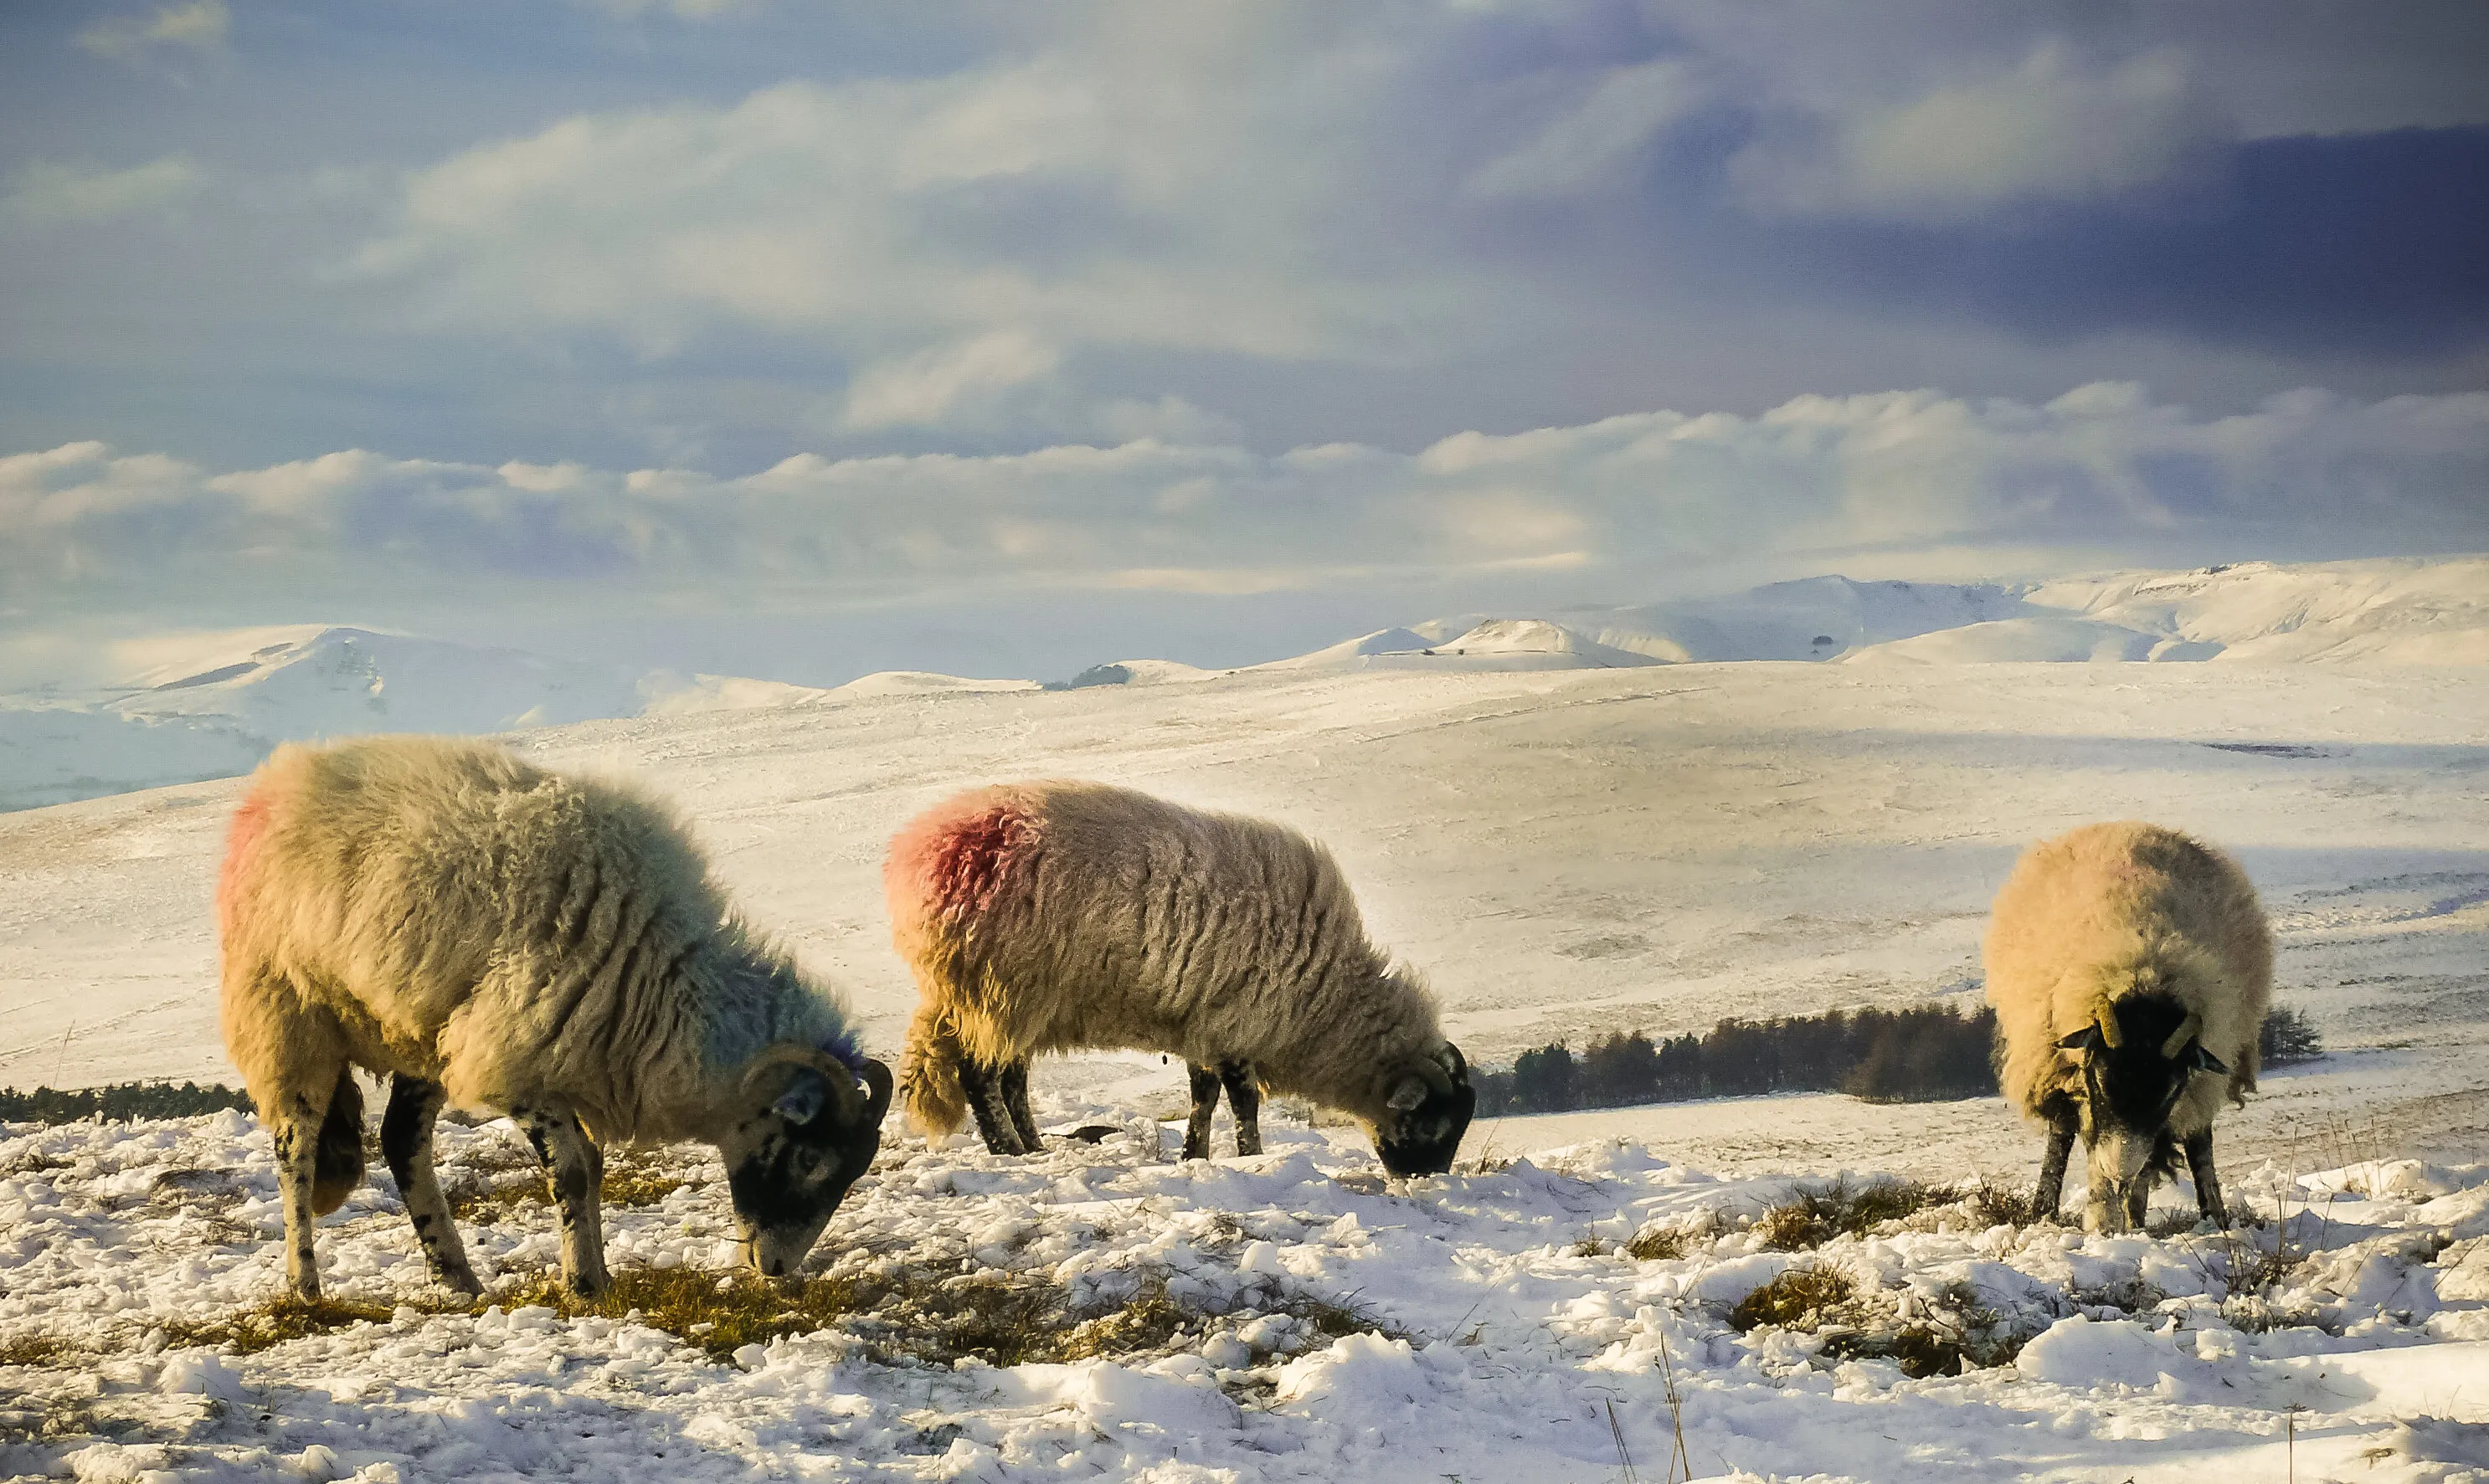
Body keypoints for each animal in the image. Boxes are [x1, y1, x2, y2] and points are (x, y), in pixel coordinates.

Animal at [217, 735, 892, 1300]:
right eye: (807, 1159)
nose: (776, 1268)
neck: (662, 982)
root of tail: (277, 783)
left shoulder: (568, 1063)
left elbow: (591, 1169)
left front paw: (599, 1276)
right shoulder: (514, 1063)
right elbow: (570, 1172)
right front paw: (582, 1285)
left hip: (422, 1029)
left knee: (402, 1140)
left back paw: (457, 1278)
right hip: (287, 1016)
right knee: (296, 1151)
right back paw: (305, 1285)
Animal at [886, 780, 1475, 1176]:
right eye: (1434, 1125)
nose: (1422, 1183)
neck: (1327, 999)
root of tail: (924, 852)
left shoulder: (1204, 1023)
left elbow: (1203, 1097)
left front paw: (1195, 1155)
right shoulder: (1238, 1021)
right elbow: (1243, 1102)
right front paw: (1250, 1156)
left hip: (1020, 1000)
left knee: (1012, 1079)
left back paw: (1032, 1145)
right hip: (995, 987)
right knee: (979, 1074)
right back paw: (1008, 1151)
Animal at [1985, 821, 2271, 1233]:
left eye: (2170, 1092)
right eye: (2101, 1080)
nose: (2120, 1170)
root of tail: (2128, 827)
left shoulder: (2194, 1082)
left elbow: (2195, 1144)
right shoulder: (2074, 1073)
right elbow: (2080, 1138)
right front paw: (2099, 1222)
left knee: (2190, 1141)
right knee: (2064, 1133)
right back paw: (2054, 1211)